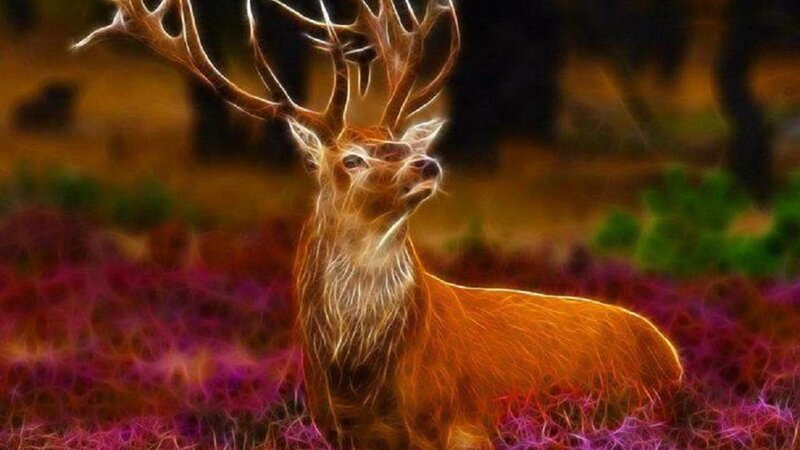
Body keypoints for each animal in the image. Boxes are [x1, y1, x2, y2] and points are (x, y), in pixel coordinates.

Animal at [76, 1, 683, 448]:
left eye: (400, 146)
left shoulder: (458, 426)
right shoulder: (335, 430)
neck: (360, 383)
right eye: (351, 159)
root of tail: (674, 356)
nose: (427, 163)